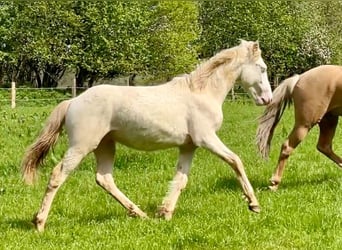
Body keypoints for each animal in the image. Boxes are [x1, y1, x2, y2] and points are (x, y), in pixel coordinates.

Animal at [22, 40, 272, 231]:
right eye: (262, 68)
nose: (267, 99)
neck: (201, 93)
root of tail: (73, 101)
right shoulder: (207, 138)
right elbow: (236, 161)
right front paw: (254, 204)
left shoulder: (189, 146)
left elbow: (181, 179)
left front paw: (165, 213)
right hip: (82, 145)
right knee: (58, 175)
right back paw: (40, 223)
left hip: (105, 145)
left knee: (104, 178)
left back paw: (140, 214)